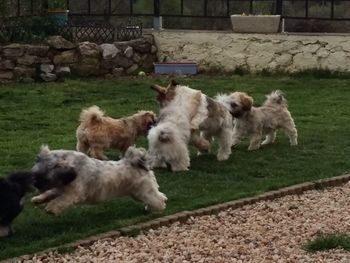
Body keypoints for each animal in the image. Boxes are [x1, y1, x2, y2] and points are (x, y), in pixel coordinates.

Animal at [30, 145, 167, 216]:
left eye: (43, 176)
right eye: (35, 174)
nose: (35, 185)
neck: (74, 166)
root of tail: (139, 164)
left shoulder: (74, 193)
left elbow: (61, 200)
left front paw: (51, 208)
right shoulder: (62, 188)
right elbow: (50, 193)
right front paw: (38, 199)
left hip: (144, 192)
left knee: (158, 199)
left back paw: (158, 208)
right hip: (138, 194)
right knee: (159, 195)